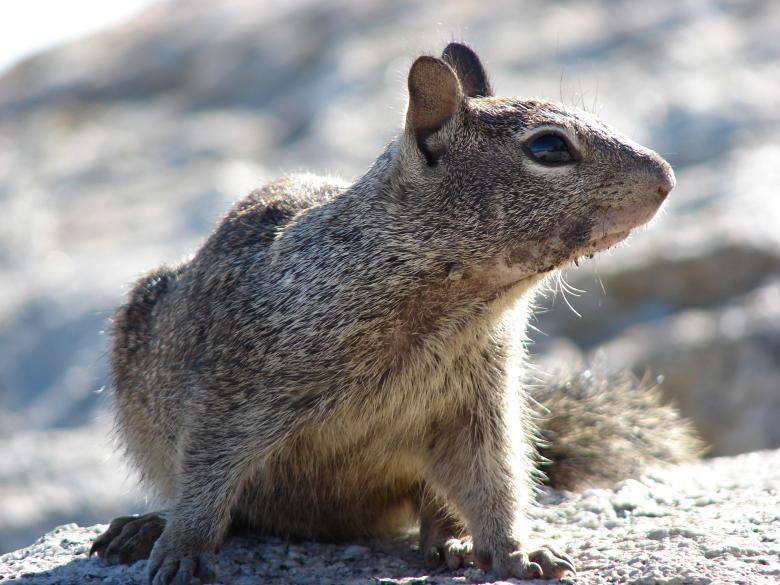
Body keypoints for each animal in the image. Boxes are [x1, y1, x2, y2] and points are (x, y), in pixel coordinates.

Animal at [90, 43, 702, 584]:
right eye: (549, 148)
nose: (668, 178)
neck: (458, 306)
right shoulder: (235, 389)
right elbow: (206, 475)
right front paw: (182, 549)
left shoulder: (478, 406)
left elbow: (494, 483)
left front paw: (516, 551)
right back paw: (143, 527)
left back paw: (453, 541)